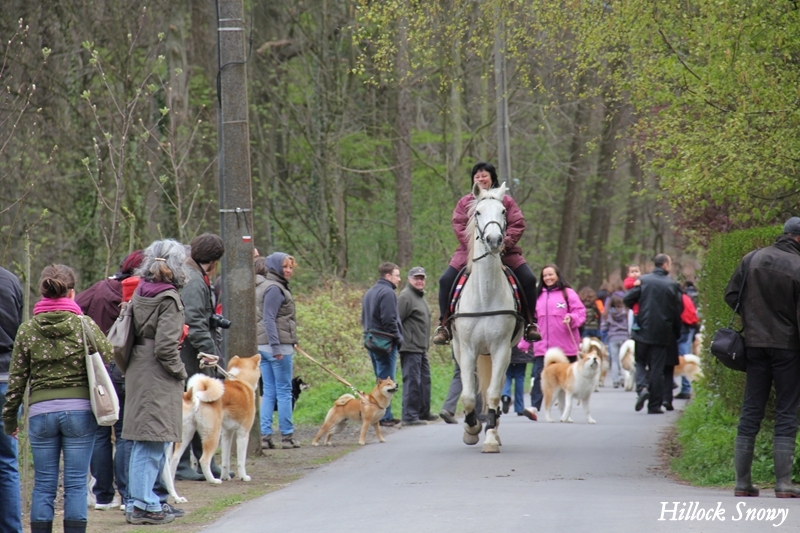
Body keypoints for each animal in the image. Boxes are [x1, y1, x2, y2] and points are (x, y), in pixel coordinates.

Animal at [450, 181, 524, 450]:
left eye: (503, 211)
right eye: (478, 213)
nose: (494, 240)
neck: (485, 294)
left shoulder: (501, 348)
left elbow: (492, 393)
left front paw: (490, 437)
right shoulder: (467, 349)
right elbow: (469, 396)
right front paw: (471, 429)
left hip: (504, 353)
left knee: (497, 387)